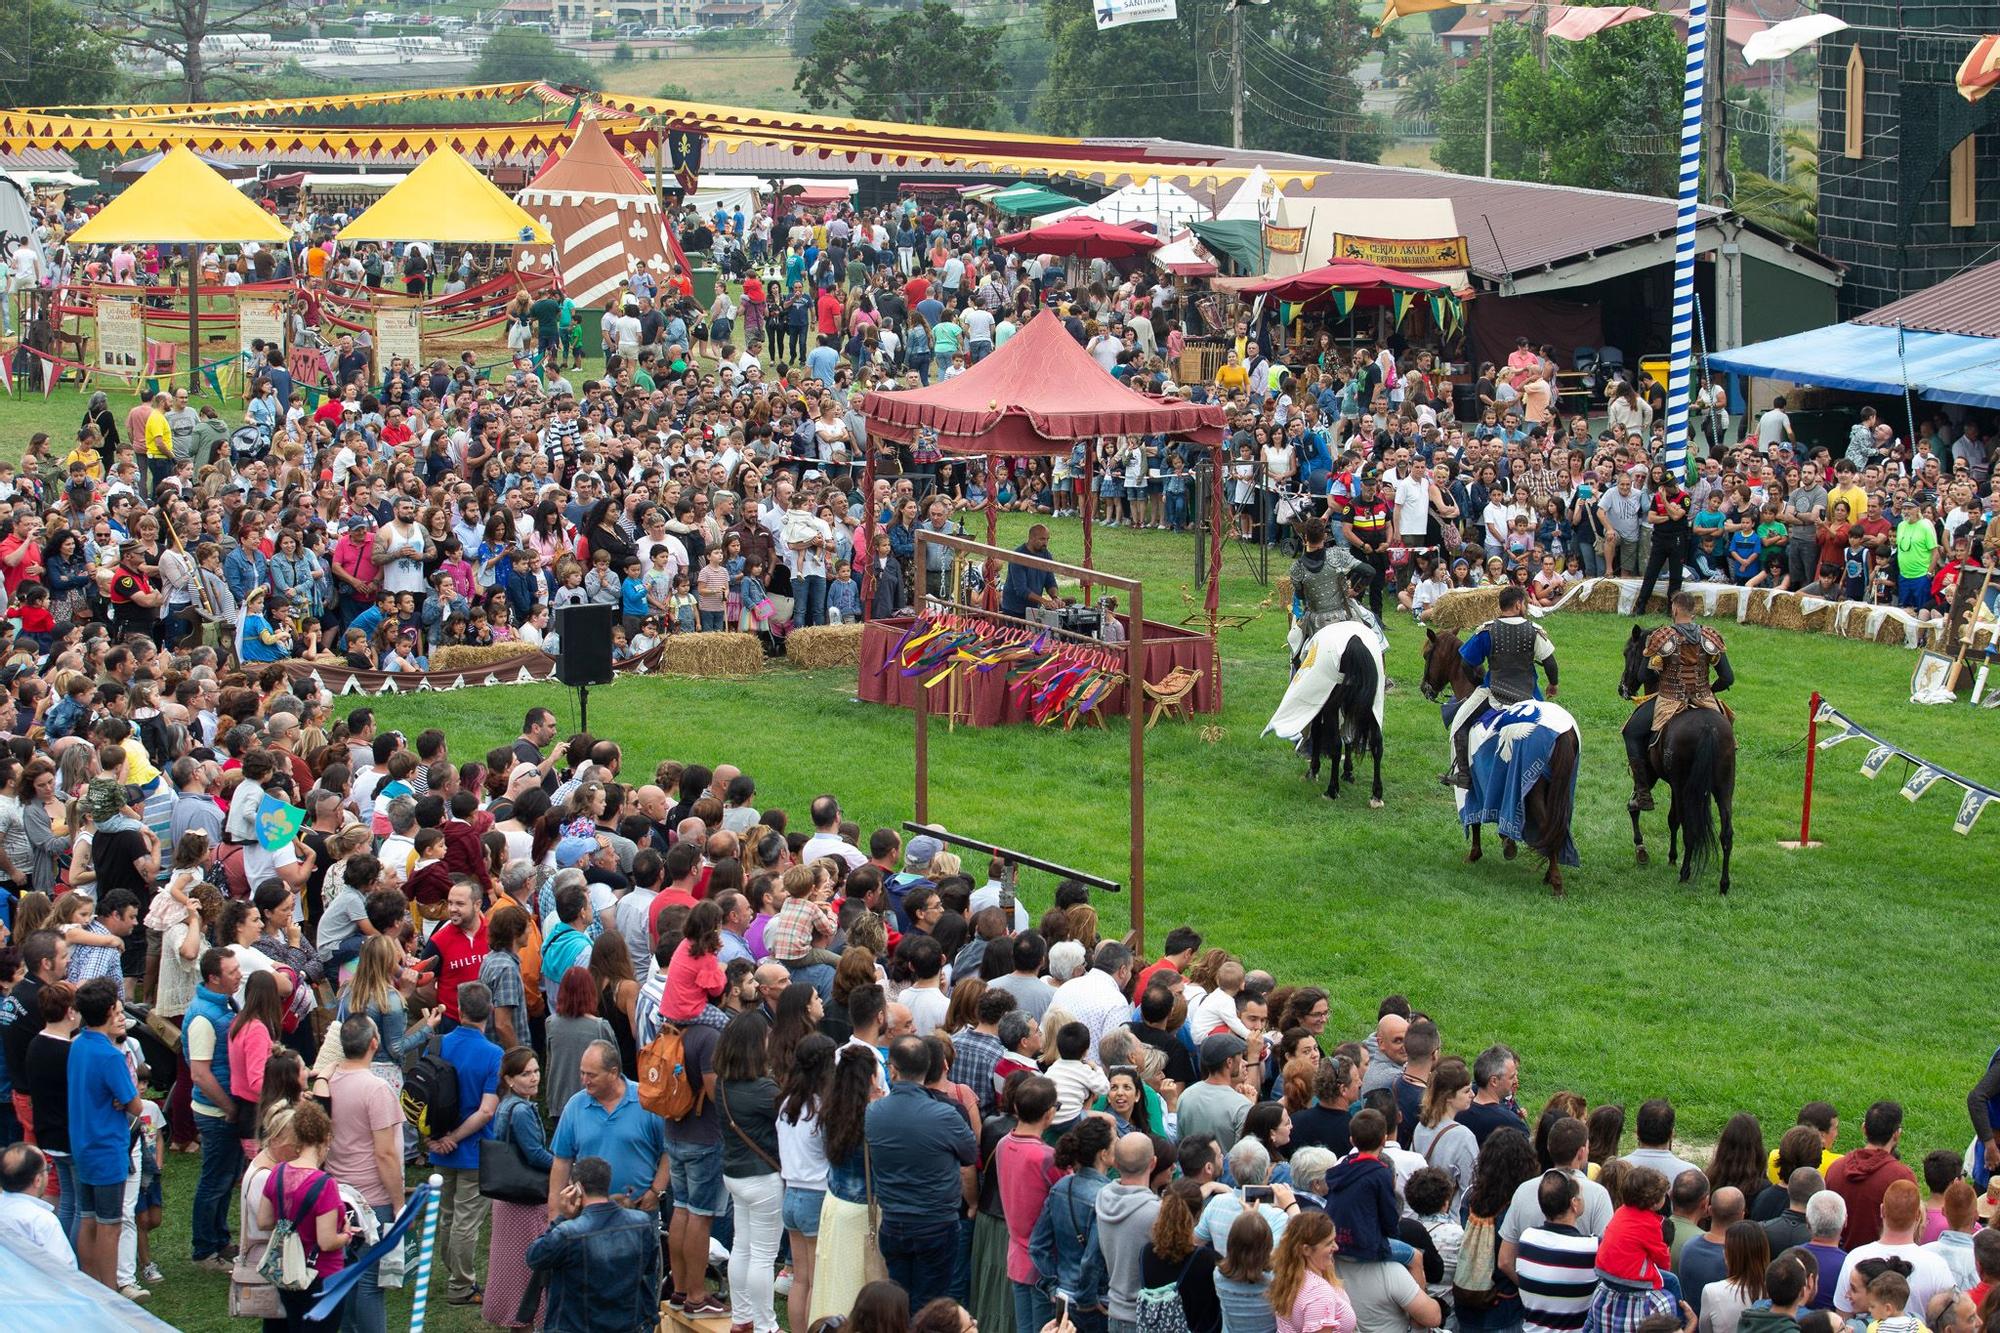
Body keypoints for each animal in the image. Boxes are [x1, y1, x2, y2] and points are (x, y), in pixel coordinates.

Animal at [1424, 624, 1576, 892]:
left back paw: (1556, 880)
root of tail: (1561, 731)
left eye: (1426, 655)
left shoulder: (1473, 788)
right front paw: (1507, 843)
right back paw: (1551, 874)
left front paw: (1475, 853)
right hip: (1560, 788)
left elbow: (1474, 818)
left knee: (1548, 826)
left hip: (1536, 792)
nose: (1425, 688)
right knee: (1558, 827)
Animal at [1624, 624, 1736, 892]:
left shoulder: (1657, 778)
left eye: (1627, 653)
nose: (1622, 688)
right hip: (1724, 785)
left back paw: (1685, 873)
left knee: (1689, 827)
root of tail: (1707, 728)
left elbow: (1641, 808)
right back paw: (1723, 884)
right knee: (1726, 832)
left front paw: (1645, 850)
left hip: (1683, 783)